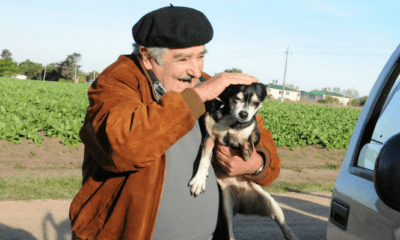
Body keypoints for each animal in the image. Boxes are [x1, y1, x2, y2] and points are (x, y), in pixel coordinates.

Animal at [189, 83, 298, 240]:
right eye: (237, 98)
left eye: (256, 102)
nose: (244, 114)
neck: (230, 121)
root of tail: (241, 201)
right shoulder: (209, 137)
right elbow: (204, 160)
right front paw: (199, 179)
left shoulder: (247, 137)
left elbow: (250, 140)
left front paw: (248, 141)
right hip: (226, 209)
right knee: (230, 234)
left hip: (273, 205)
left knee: (285, 227)